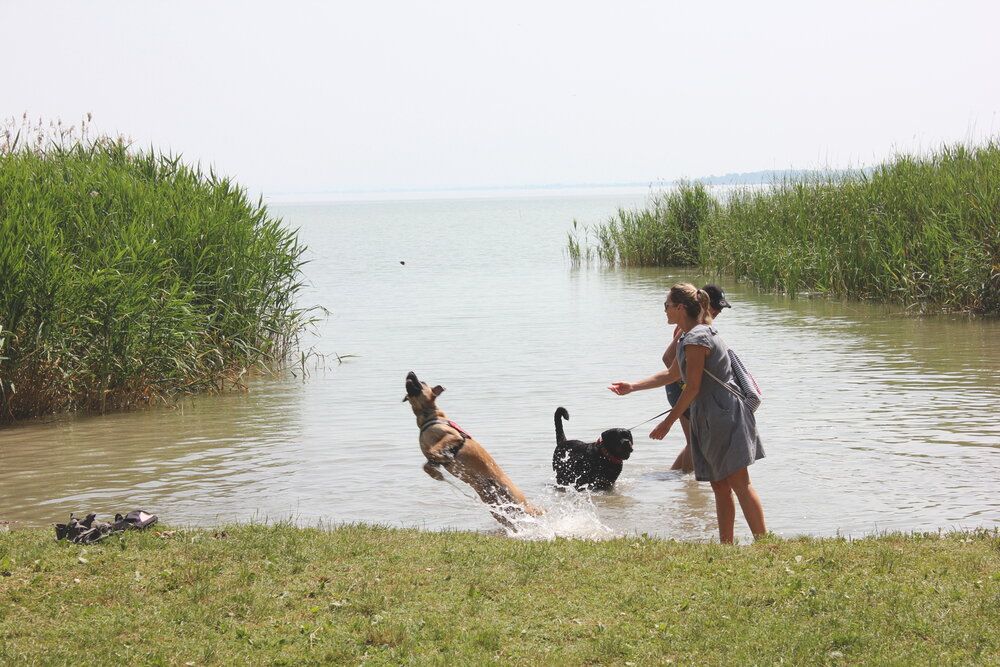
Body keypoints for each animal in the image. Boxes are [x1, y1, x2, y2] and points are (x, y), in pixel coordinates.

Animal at [404, 370, 544, 528]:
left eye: (422, 382)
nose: (410, 372)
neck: (427, 417)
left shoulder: (454, 437)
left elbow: (436, 448)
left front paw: (442, 456)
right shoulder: (432, 460)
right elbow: (427, 465)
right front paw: (437, 474)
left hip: (517, 499)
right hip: (497, 507)